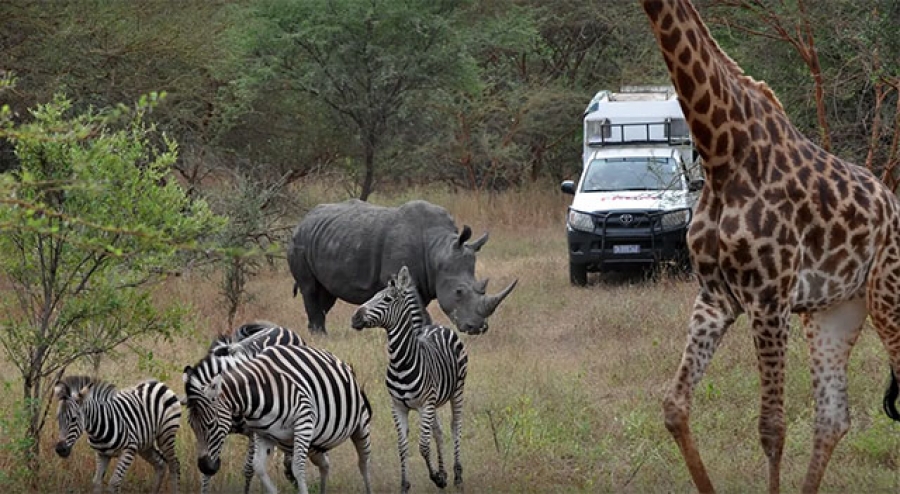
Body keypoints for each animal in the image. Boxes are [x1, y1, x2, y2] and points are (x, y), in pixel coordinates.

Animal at [183, 342, 372, 494]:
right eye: (191, 426)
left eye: (211, 424)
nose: (205, 467)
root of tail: (342, 363)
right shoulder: (264, 433)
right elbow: (257, 467)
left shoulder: (300, 423)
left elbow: (285, 468)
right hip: (315, 443)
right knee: (325, 464)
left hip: (358, 426)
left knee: (363, 464)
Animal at [350, 266, 472, 494]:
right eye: (373, 296)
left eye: (387, 299)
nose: (354, 318)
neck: (401, 363)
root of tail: (436, 327)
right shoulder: (398, 406)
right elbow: (402, 446)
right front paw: (406, 485)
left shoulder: (425, 404)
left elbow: (423, 446)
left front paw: (436, 478)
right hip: (434, 402)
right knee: (438, 432)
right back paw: (445, 472)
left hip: (457, 390)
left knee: (455, 427)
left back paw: (457, 476)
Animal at [644, 0, 900, 494]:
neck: (722, 149)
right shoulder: (716, 297)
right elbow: (674, 407)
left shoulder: (769, 298)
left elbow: (772, 428)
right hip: (835, 310)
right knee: (833, 418)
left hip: (887, 299)